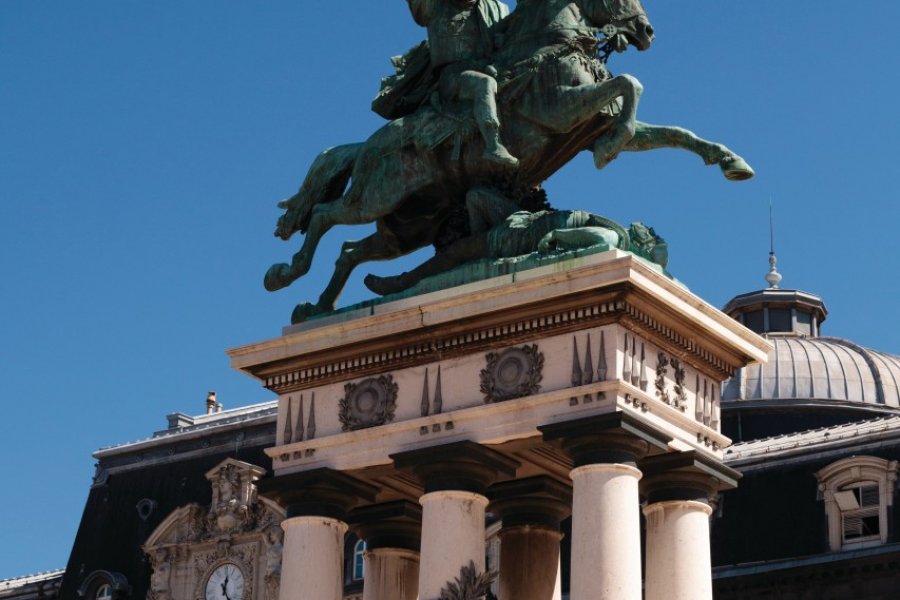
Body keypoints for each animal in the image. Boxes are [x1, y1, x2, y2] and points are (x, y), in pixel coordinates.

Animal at [266, 0, 752, 324]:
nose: (648, 32)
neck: (550, 50)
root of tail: (365, 144)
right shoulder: (562, 108)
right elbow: (630, 84)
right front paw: (611, 148)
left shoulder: (591, 120)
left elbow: (671, 131)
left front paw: (729, 160)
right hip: (375, 196)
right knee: (324, 215)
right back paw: (288, 274)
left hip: (408, 225)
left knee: (351, 250)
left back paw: (319, 307)